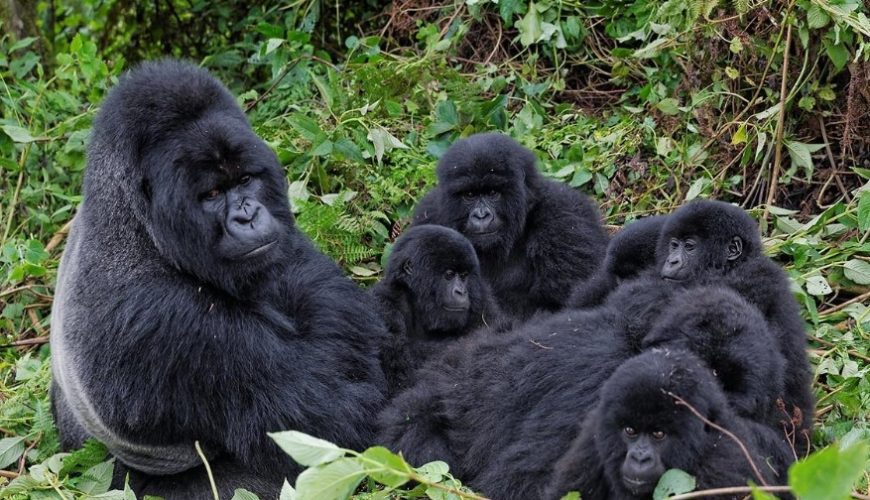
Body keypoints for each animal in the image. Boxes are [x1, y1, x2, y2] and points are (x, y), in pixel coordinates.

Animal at [48, 59, 388, 500]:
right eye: (211, 194)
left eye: (244, 180)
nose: (247, 216)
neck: (138, 227)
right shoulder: (165, 322)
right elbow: (339, 419)